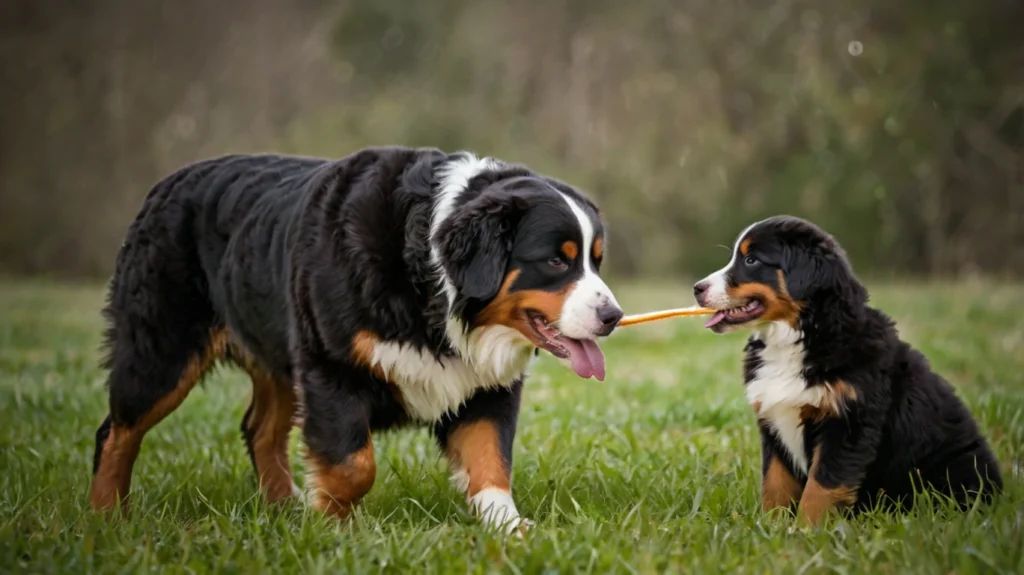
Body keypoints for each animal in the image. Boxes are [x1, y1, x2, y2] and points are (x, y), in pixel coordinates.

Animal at [88, 145, 618, 532]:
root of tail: (168, 182)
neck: (427, 278)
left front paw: (508, 528)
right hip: (162, 352)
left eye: (596, 260)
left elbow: (491, 461)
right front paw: (331, 526)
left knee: (260, 430)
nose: (613, 315)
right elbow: (353, 464)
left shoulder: (485, 385)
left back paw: (282, 508)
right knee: (117, 431)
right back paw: (106, 518)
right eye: (555, 260)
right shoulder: (332, 366)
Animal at [692, 213, 1003, 523]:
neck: (799, 337)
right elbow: (775, 484)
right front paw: (770, 526)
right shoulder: (773, 423)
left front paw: (806, 529)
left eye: (751, 260)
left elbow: (822, 486)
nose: (697, 288)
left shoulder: (848, 422)